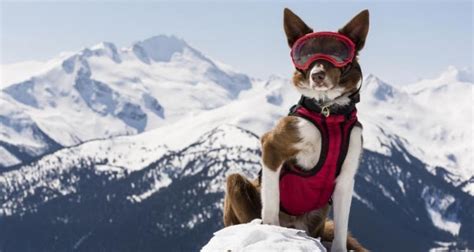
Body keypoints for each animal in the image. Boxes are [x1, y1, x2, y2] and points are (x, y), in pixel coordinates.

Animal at [224, 7, 368, 252]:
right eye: (306, 55)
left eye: (337, 53)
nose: (317, 75)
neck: (328, 113)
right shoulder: (272, 146)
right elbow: (271, 202)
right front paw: (270, 231)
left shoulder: (346, 176)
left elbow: (341, 228)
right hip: (235, 182)